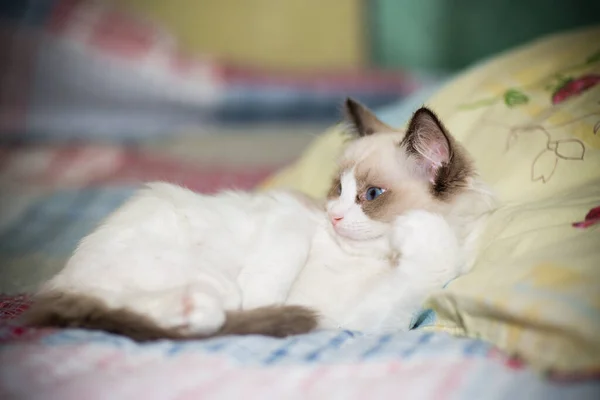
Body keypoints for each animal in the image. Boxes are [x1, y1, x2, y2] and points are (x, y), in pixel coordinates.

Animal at [22, 100, 492, 340]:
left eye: (371, 195)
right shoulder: (287, 215)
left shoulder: (364, 321)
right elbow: (279, 264)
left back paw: (194, 311)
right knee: (117, 304)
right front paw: (265, 299)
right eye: (335, 190)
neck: (371, 260)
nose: (334, 215)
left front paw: (425, 237)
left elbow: (428, 268)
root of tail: (57, 286)